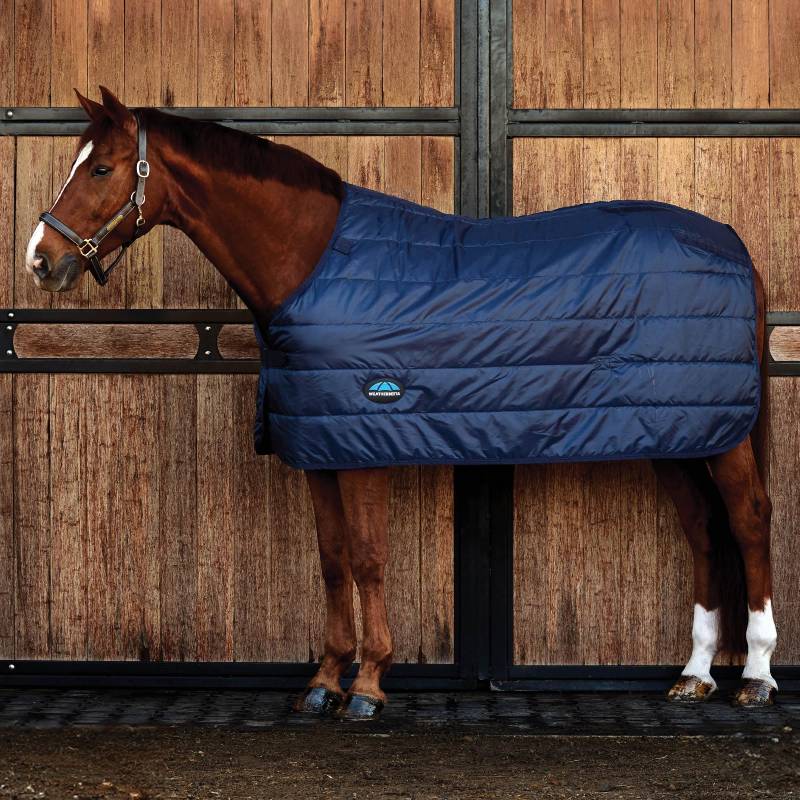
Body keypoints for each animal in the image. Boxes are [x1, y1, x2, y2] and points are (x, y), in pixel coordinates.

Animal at [26, 86, 778, 718]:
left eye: (102, 169)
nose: (39, 259)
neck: (313, 264)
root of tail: (734, 246)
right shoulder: (320, 444)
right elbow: (332, 560)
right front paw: (324, 681)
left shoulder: (366, 438)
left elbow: (366, 557)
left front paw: (368, 684)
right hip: (674, 433)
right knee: (702, 529)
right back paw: (694, 674)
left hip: (723, 436)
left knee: (747, 521)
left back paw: (757, 676)